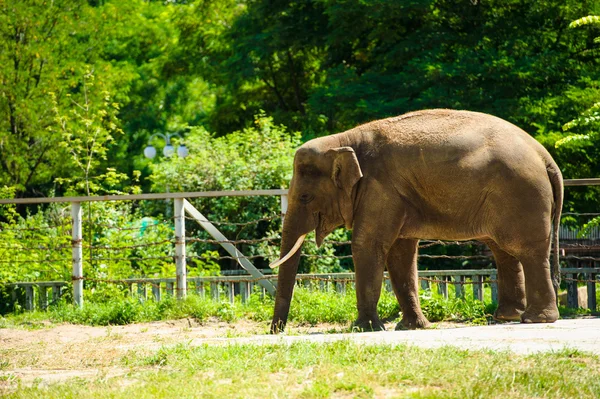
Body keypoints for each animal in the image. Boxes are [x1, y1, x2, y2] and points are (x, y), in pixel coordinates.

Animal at [270, 109, 564, 334]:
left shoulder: (380, 188)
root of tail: (545, 156)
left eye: (305, 197)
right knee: (503, 251)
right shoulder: (393, 195)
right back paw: (506, 317)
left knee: (527, 251)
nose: (276, 331)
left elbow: (367, 245)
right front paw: (411, 327)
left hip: (522, 194)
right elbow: (400, 253)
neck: (344, 139)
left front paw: (364, 329)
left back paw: (535, 319)